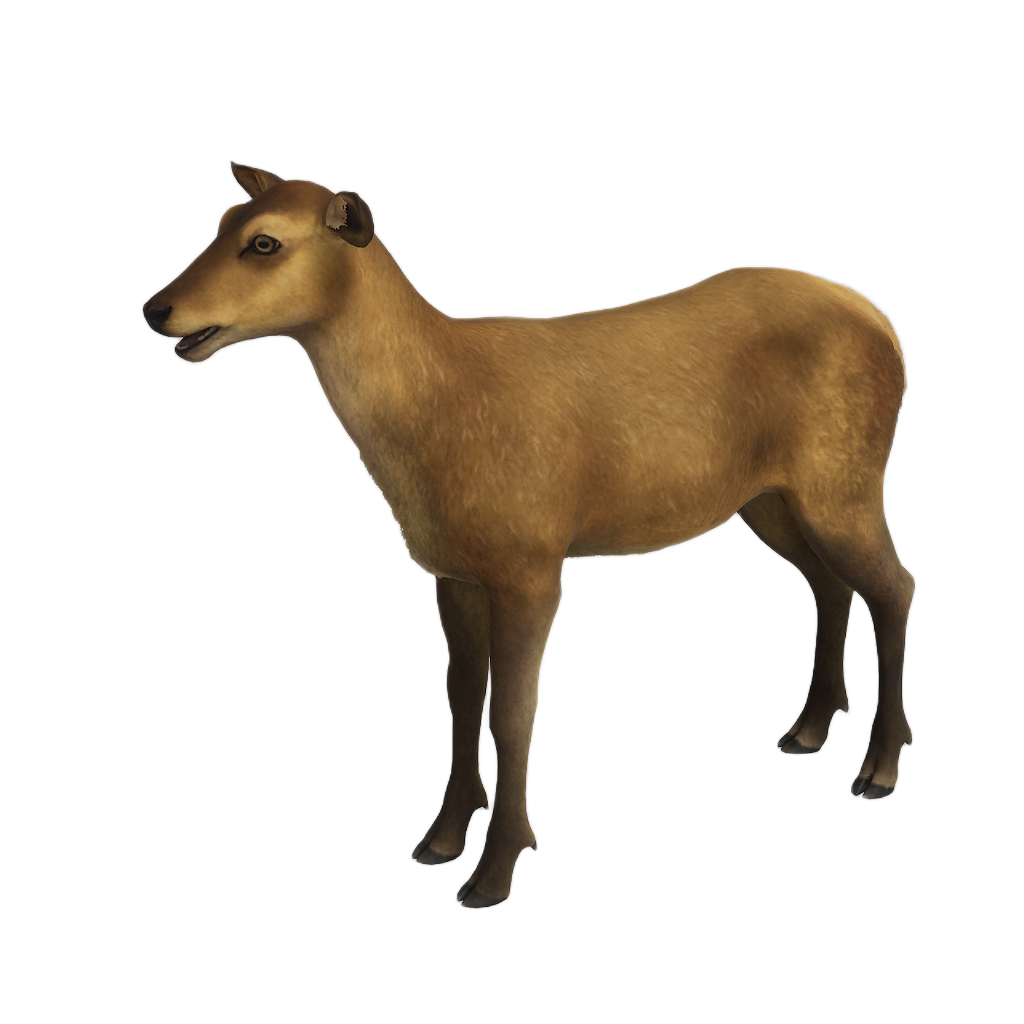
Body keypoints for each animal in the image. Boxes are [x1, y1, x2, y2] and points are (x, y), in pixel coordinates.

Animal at [143, 160, 916, 909]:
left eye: (264, 243)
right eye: (222, 219)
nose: (156, 308)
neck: (438, 413)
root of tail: (886, 326)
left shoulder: (532, 563)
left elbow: (513, 714)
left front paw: (495, 871)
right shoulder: (452, 569)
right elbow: (460, 697)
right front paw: (441, 838)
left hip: (843, 475)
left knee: (895, 584)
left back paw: (878, 767)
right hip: (771, 495)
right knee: (831, 582)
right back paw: (808, 730)